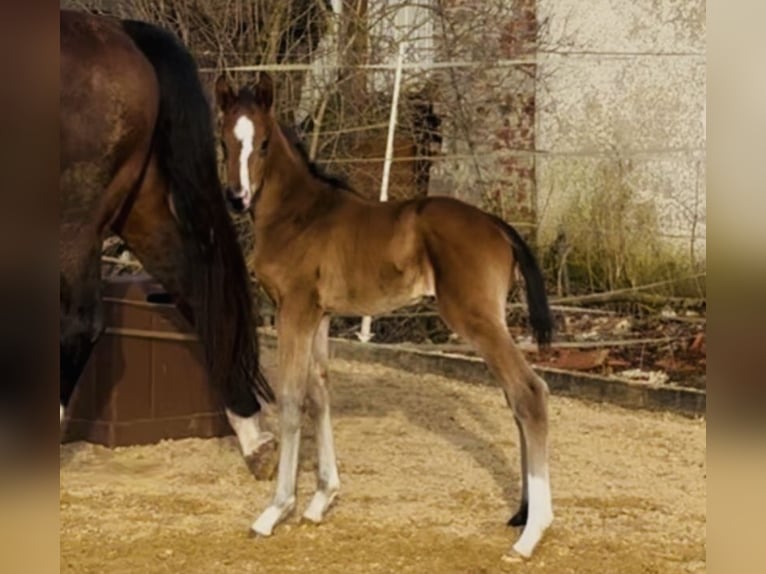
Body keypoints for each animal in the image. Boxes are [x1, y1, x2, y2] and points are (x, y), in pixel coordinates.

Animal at [59, 10, 277, 479]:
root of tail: (120, 29)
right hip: (137, 209)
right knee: (196, 290)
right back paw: (254, 438)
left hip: (76, 216)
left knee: (78, 324)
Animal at [215, 72, 556, 560]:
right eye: (224, 141)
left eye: (262, 143)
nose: (236, 197)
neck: (298, 215)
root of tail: (498, 225)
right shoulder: (320, 315)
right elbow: (320, 393)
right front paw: (321, 500)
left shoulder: (293, 310)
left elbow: (293, 400)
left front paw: (275, 510)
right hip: (494, 320)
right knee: (514, 397)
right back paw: (522, 515)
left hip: (475, 319)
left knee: (530, 392)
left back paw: (531, 535)